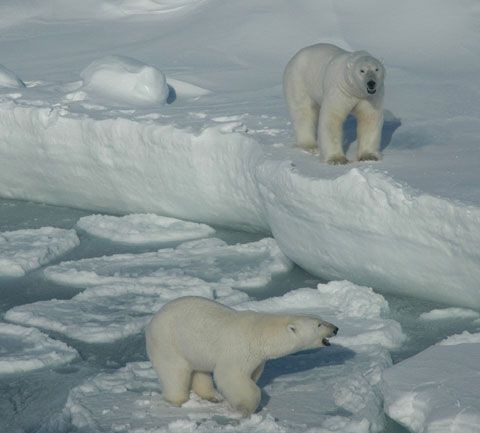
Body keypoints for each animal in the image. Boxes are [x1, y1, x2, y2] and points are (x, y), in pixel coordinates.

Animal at [146, 296, 338, 414]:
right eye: (319, 325)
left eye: (321, 320)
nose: (336, 328)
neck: (261, 334)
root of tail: (154, 318)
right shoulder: (240, 349)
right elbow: (231, 376)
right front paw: (247, 407)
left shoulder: (258, 359)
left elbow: (252, 375)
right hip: (168, 341)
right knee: (174, 371)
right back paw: (178, 400)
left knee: (200, 370)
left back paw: (211, 397)